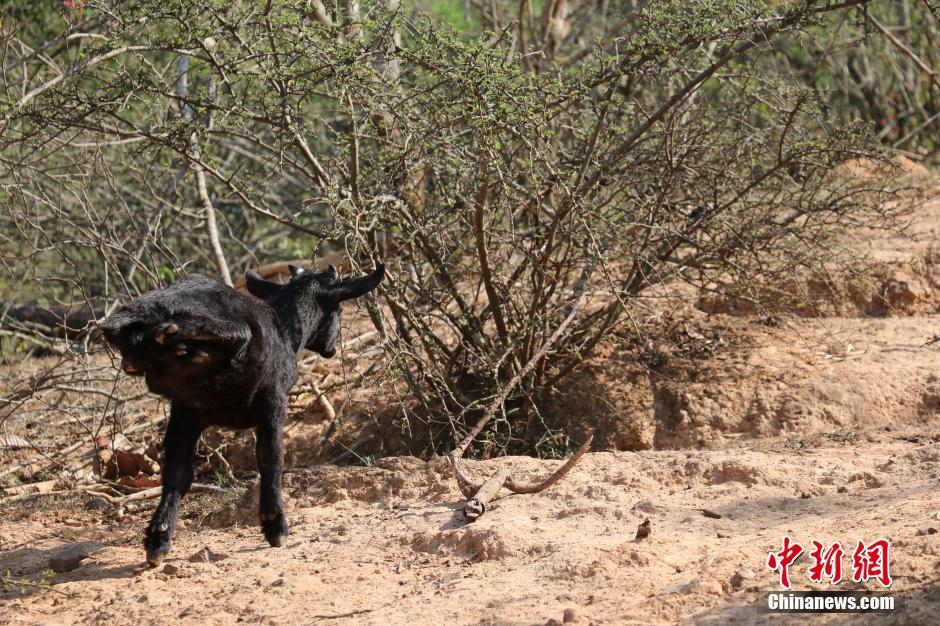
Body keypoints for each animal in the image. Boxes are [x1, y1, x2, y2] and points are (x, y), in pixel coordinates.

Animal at [100, 260, 386, 564]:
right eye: (339, 310)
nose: (330, 349)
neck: (284, 327)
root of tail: (148, 309)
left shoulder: (187, 409)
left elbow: (178, 473)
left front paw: (159, 537)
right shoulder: (274, 400)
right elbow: (270, 457)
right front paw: (275, 525)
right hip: (220, 327)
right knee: (234, 332)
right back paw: (179, 335)